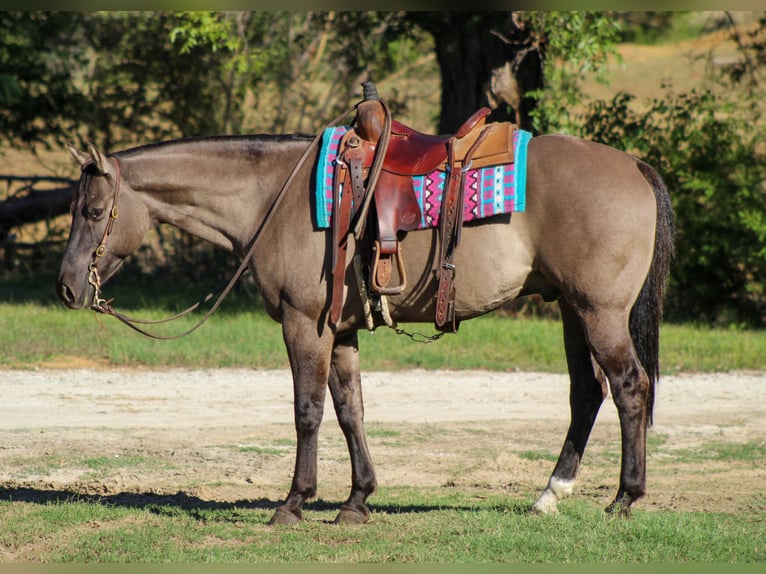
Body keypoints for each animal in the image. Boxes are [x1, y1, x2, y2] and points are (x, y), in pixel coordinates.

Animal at [57, 126, 674, 525]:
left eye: (93, 212)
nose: (66, 287)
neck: (276, 197)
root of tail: (635, 166)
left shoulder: (305, 325)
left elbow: (307, 411)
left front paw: (294, 502)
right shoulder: (341, 331)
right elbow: (350, 409)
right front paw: (357, 501)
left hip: (599, 313)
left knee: (629, 388)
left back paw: (625, 498)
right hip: (572, 309)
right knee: (587, 392)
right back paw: (551, 493)